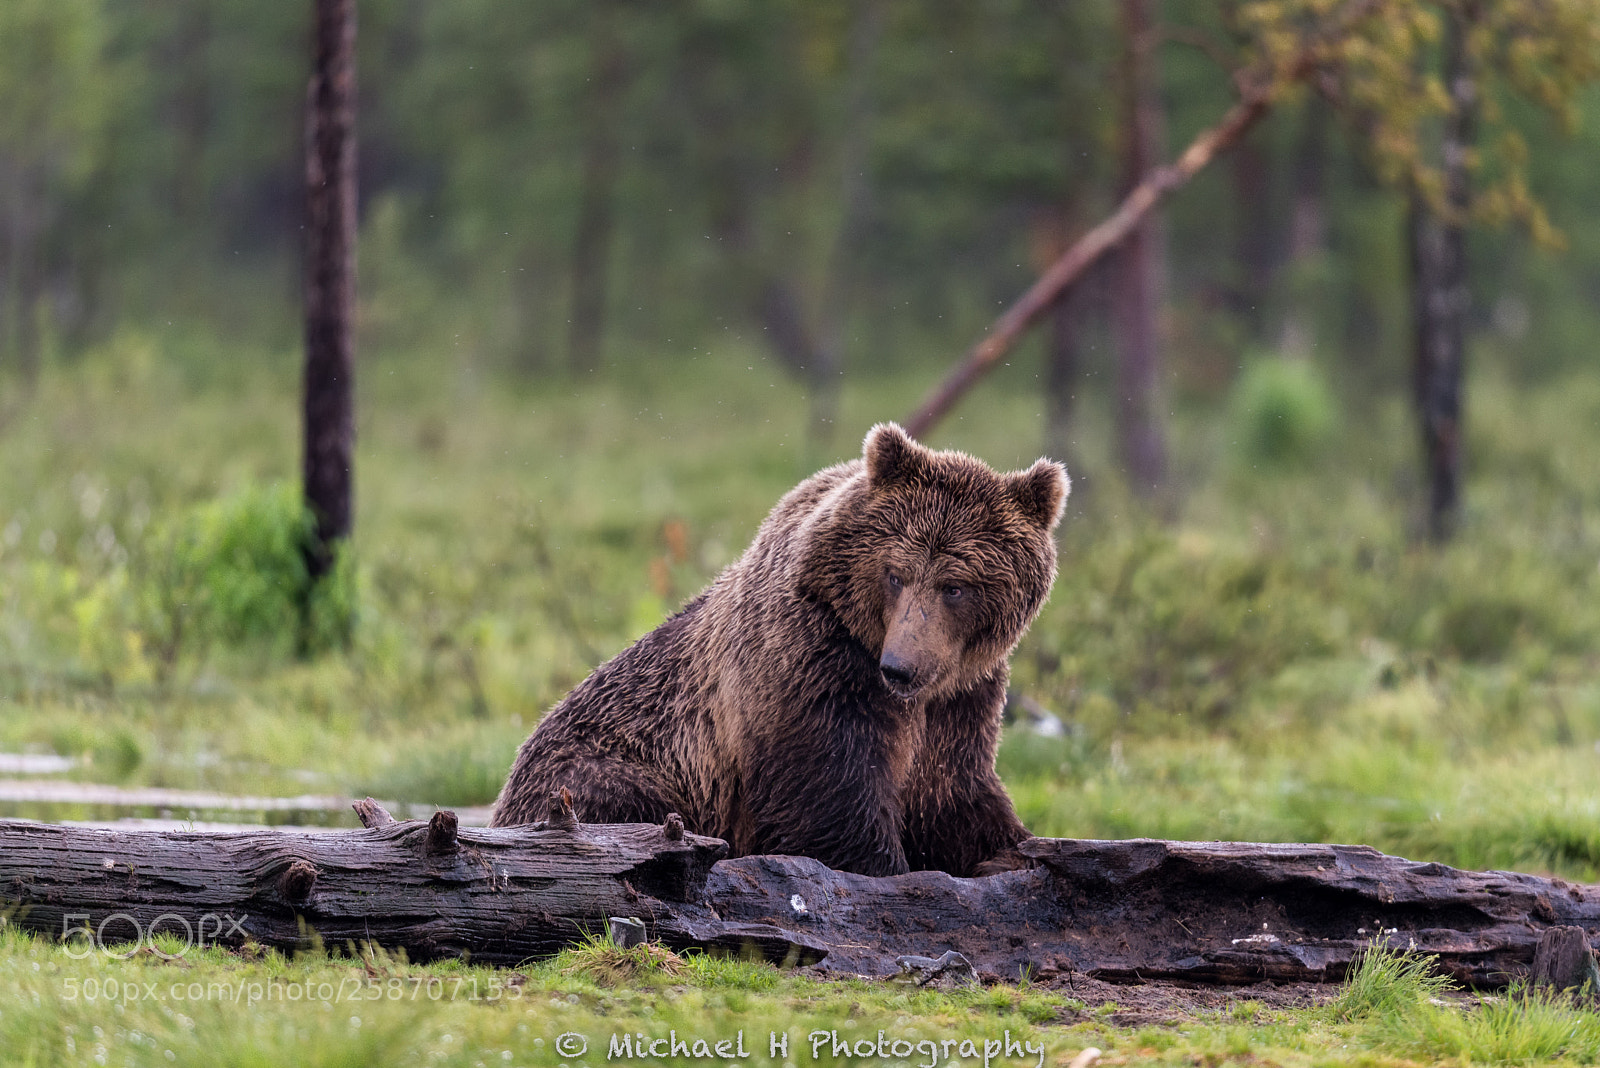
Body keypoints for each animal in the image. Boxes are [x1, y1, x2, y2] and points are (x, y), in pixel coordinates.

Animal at [490, 422, 1068, 877]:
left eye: (956, 586)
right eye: (896, 573)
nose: (900, 668)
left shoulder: (961, 697)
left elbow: (953, 792)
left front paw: (1017, 850)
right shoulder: (810, 665)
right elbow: (830, 793)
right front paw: (887, 867)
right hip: (612, 769)